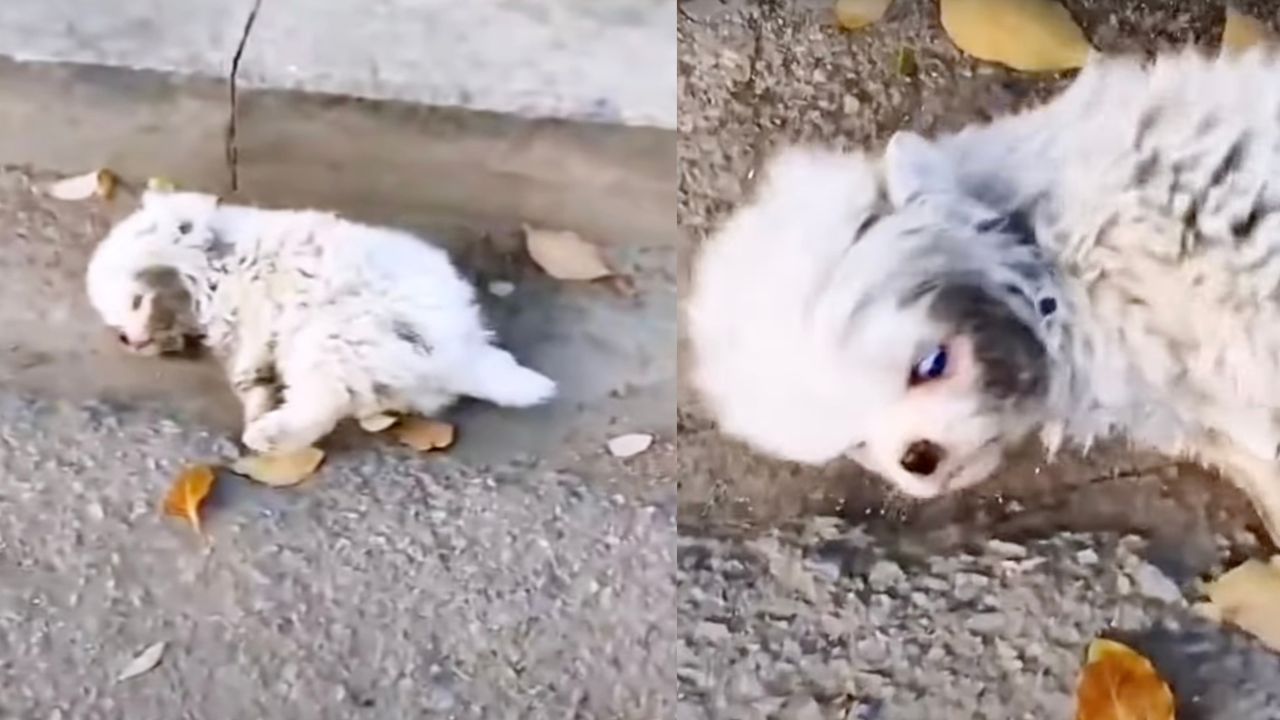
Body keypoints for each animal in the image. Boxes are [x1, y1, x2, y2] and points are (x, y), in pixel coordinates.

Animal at [85, 188, 555, 450]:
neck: (215, 264)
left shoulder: (252, 308)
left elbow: (248, 357)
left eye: (134, 301)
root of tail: (463, 355)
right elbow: (249, 373)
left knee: (323, 402)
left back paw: (269, 434)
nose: (129, 341)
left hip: (331, 337)